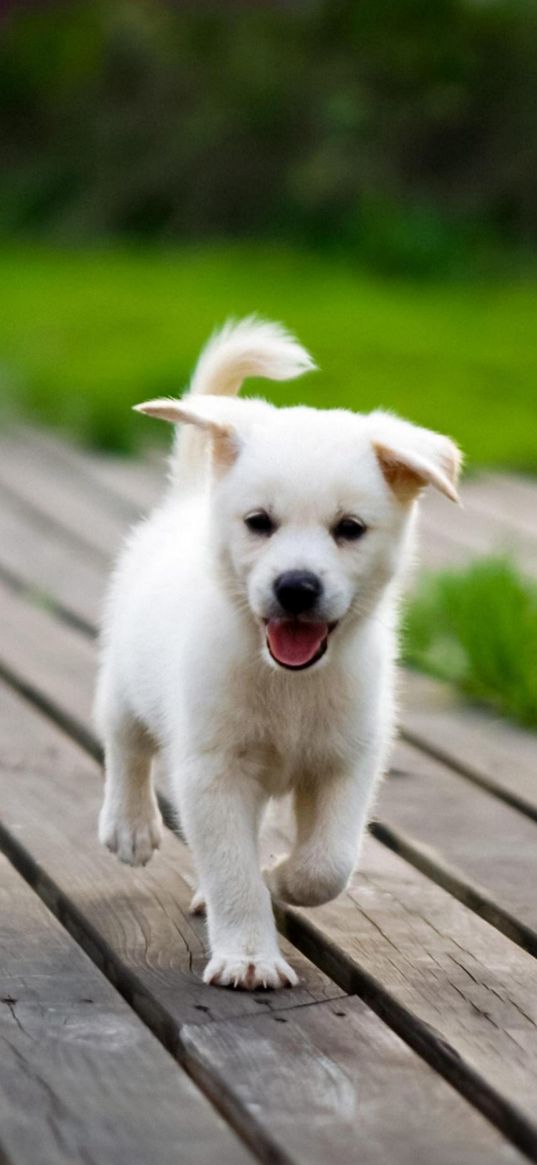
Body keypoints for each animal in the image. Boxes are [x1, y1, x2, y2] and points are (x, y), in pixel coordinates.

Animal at [94, 319, 458, 992]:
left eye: (350, 528)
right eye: (259, 522)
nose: (296, 587)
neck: (288, 683)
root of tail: (189, 499)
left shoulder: (348, 761)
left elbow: (328, 863)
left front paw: (281, 878)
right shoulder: (213, 769)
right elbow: (232, 868)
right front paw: (248, 954)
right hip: (126, 680)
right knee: (126, 743)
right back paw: (129, 825)